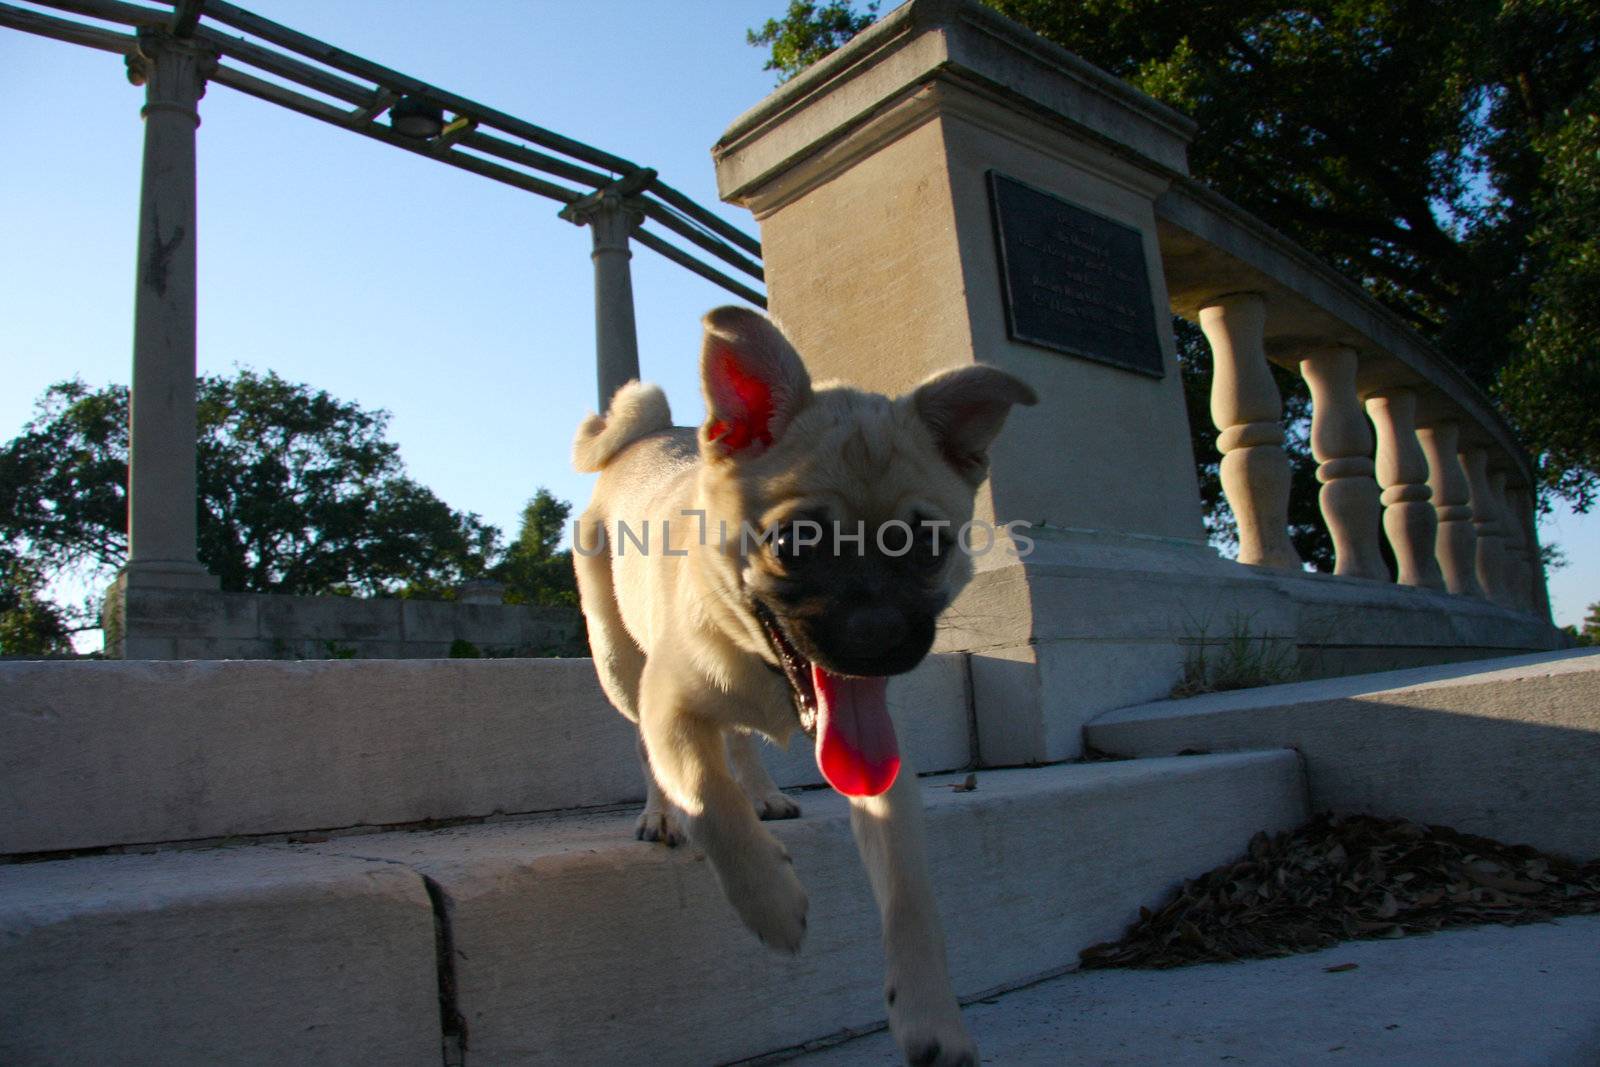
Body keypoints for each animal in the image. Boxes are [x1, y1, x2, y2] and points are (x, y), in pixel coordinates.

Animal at [576, 303, 1036, 1062]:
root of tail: (644, 438)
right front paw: (771, 903)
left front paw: (931, 1017)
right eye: (795, 544)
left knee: (738, 743)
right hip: (618, 665)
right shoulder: (670, 706)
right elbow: (709, 799)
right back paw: (662, 814)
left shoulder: (883, 776)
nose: (876, 630)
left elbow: (911, 894)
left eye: (929, 547)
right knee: (655, 750)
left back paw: (764, 793)